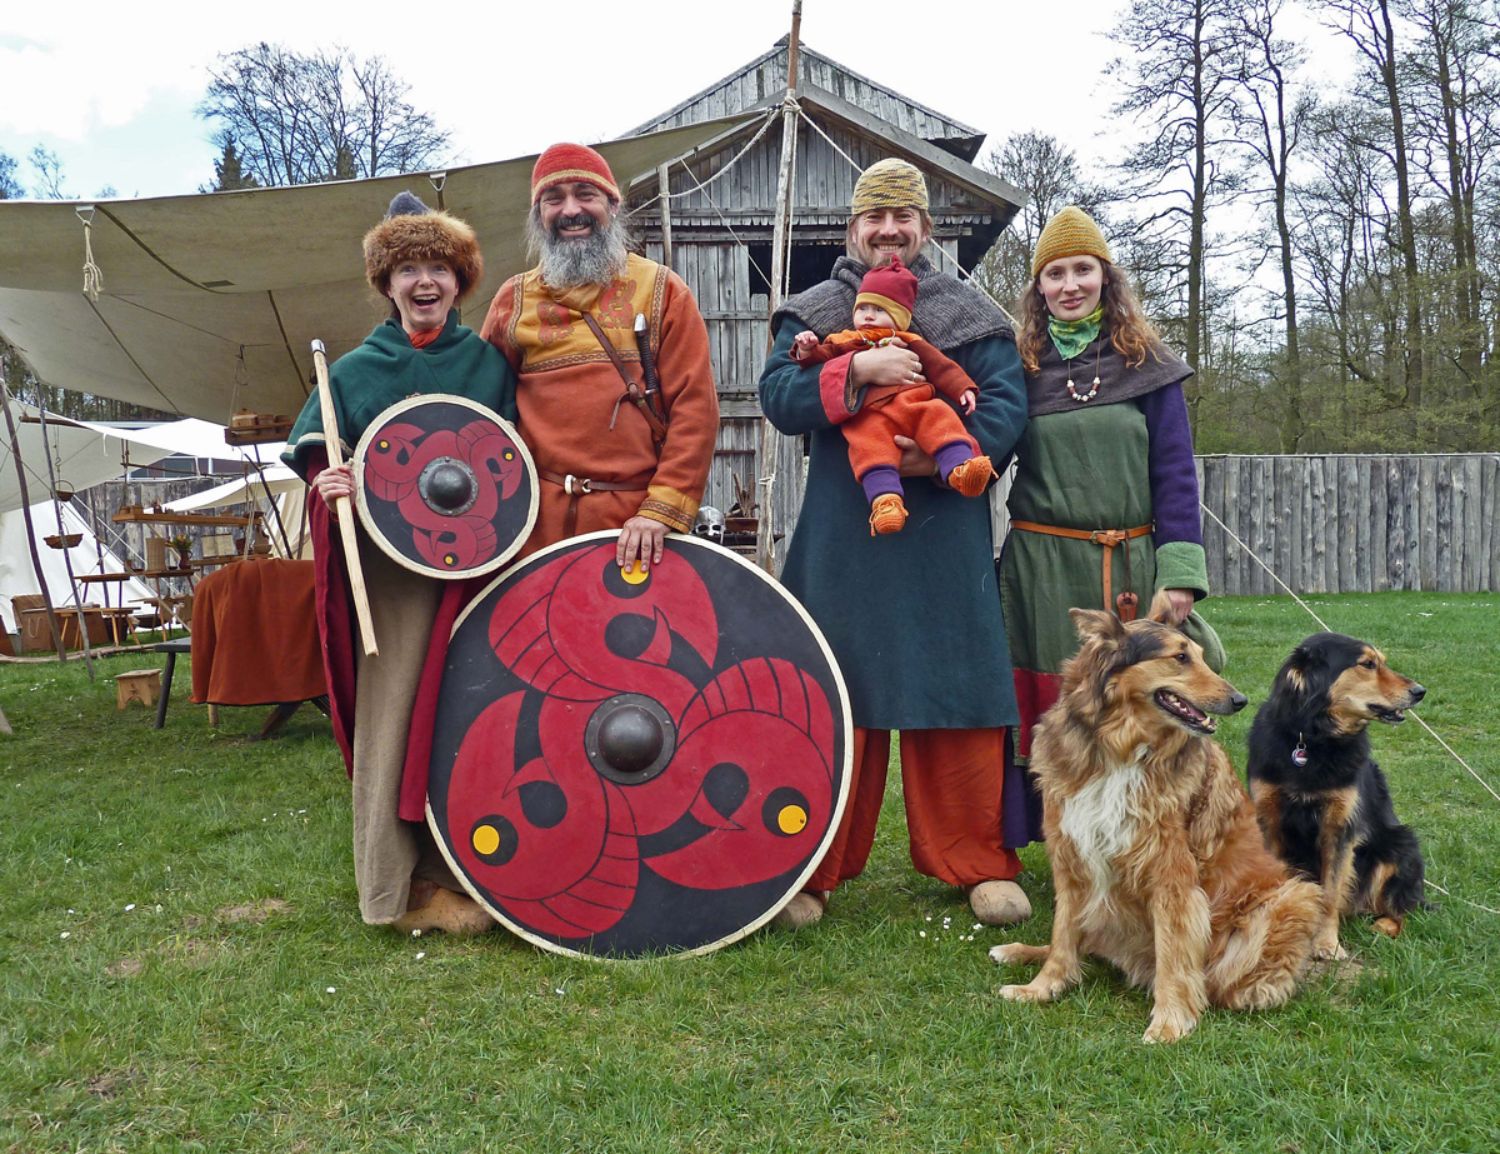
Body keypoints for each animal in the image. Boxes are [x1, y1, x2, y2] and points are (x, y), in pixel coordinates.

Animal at [996, 603, 1326, 1044]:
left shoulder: (1170, 874)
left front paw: (1170, 1018)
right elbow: (1063, 934)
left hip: (1295, 896)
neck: (1120, 750)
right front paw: (1043, 987)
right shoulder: (1071, 857)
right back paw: (1017, 952)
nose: (1240, 700)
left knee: (1228, 975)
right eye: (1180, 657)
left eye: (1201, 656)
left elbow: (1174, 951)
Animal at [1242, 630, 1428, 954]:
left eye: (1380, 662)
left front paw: (1326, 942)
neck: (1312, 740)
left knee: (1403, 910)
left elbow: (1330, 892)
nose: (1420, 691)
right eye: (1367, 664)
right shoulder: (1269, 818)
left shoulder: (1339, 828)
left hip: (1398, 845)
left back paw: (1384, 924)